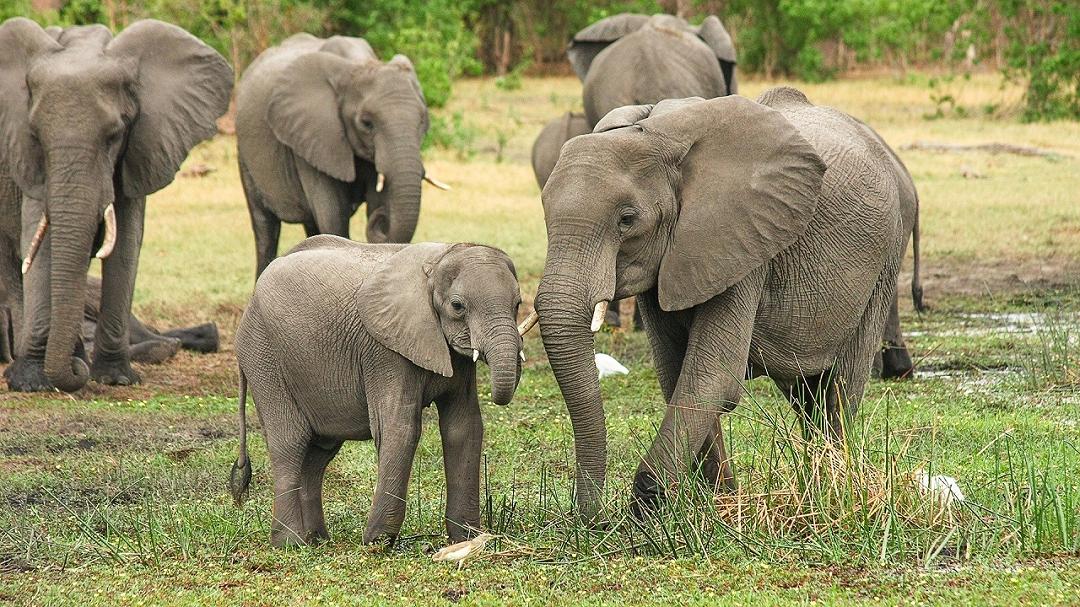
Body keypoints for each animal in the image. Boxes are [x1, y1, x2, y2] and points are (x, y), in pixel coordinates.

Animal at [0, 18, 234, 388]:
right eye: (35, 136)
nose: (74, 372)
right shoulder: (27, 162)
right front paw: (31, 382)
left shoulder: (140, 147)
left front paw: (115, 378)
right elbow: (40, 241)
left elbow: (126, 244)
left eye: (114, 135)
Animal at [230, 234, 524, 546]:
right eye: (458, 306)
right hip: (263, 356)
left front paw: (467, 539)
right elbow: (400, 428)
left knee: (318, 453)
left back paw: (317, 540)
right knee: (290, 442)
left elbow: (464, 427)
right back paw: (290, 543)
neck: (438, 260)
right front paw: (377, 542)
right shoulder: (384, 350)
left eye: (518, 304)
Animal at [238, 34, 449, 278]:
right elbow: (332, 215)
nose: (382, 218)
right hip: (245, 156)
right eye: (366, 123)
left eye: (423, 120)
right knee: (265, 228)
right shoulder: (314, 137)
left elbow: (374, 201)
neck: (358, 65)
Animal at [535, 88, 907, 514]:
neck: (657, 135)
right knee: (805, 395)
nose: (594, 519)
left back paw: (833, 486)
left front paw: (649, 506)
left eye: (626, 220)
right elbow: (676, 373)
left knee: (840, 387)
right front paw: (718, 502)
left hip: (885, 262)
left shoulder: (744, 242)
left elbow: (712, 376)